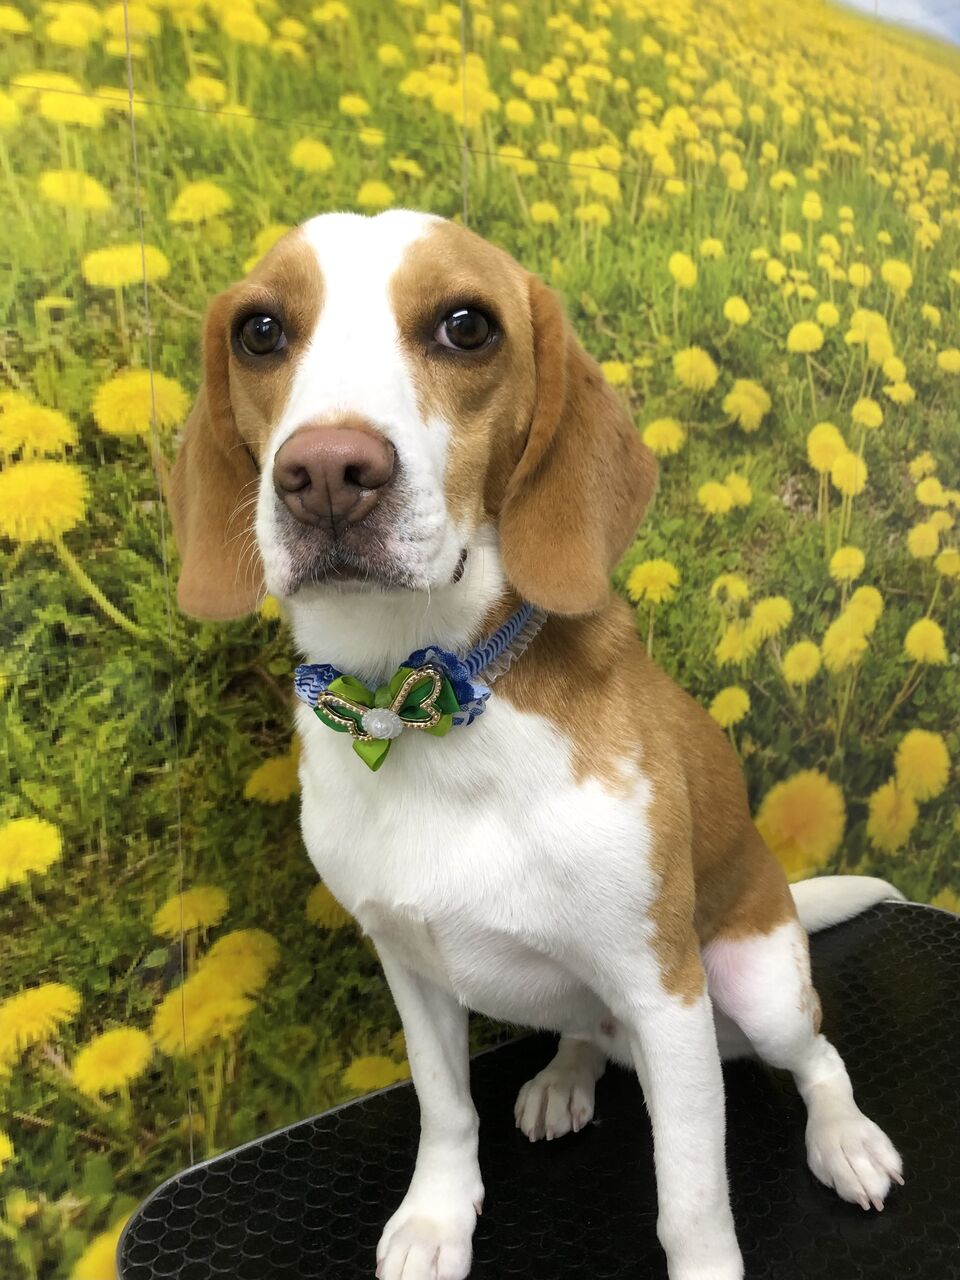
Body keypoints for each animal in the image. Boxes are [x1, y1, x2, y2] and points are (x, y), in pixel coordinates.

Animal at [170, 210, 903, 1280]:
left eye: (467, 326)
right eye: (259, 332)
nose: (326, 475)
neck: (421, 703)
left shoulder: (665, 993)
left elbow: (691, 1203)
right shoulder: (409, 964)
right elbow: (444, 1111)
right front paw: (437, 1218)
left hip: (756, 986)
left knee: (818, 1055)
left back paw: (843, 1138)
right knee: (585, 1031)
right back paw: (569, 1072)